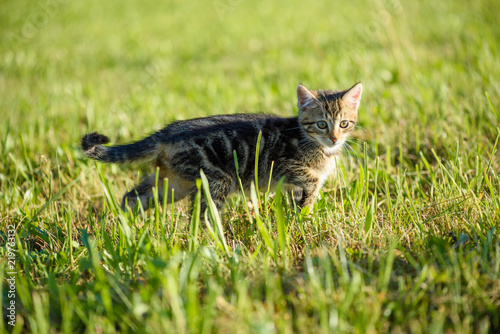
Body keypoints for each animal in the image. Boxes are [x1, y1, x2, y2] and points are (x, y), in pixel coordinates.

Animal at [82, 83, 364, 214]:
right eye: (321, 124)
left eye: (344, 123)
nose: (334, 138)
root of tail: (166, 132)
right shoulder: (284, 165)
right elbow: (312, 181)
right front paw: (307, 211)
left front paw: (301, 216)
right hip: (215, 181)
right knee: (202, 219)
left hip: (172, 184)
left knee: (130, 197)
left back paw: (126, 226)